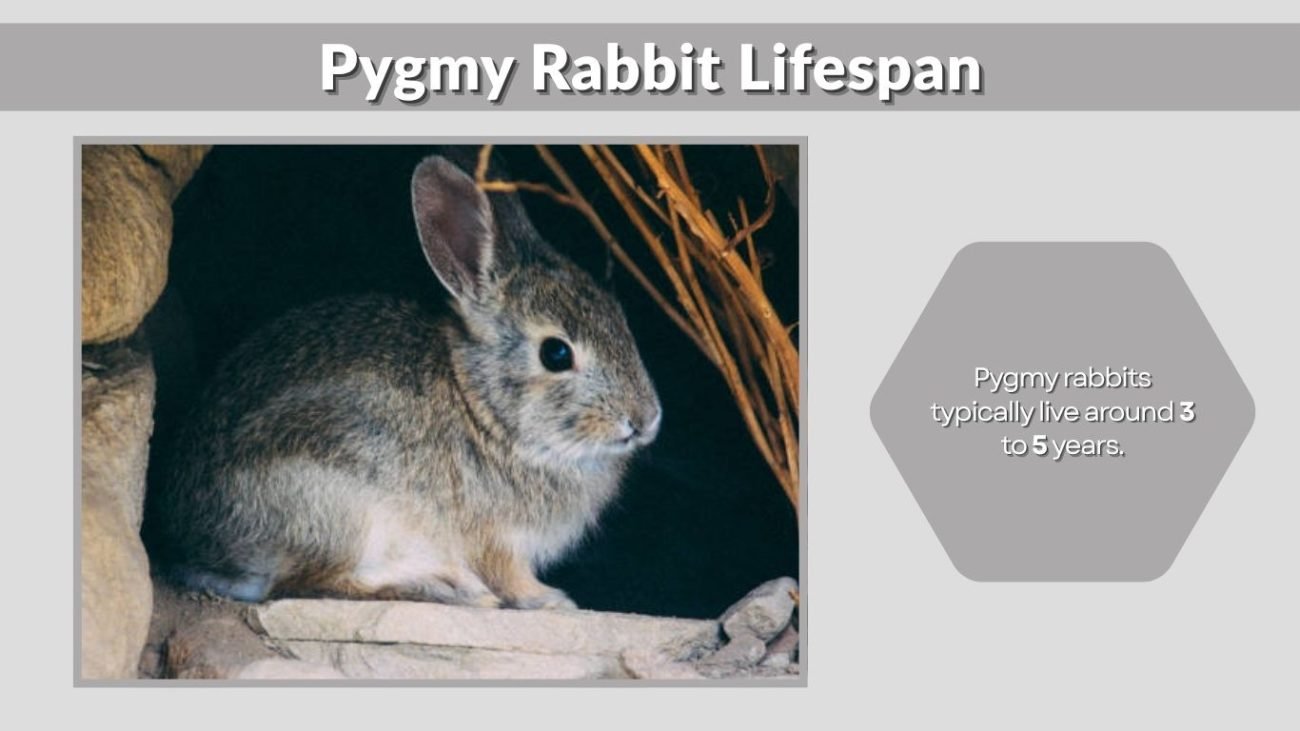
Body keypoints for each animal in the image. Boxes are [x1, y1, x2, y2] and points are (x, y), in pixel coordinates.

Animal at [144, 151, 662, 610]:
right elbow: (510, 576)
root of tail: (203, 552)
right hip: (336, 504)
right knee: (305, 584)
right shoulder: (495, 539)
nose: (646, 420)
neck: (482, 407)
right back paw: (447, 589)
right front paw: (551, 600)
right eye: (556, 353)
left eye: (621, 321)